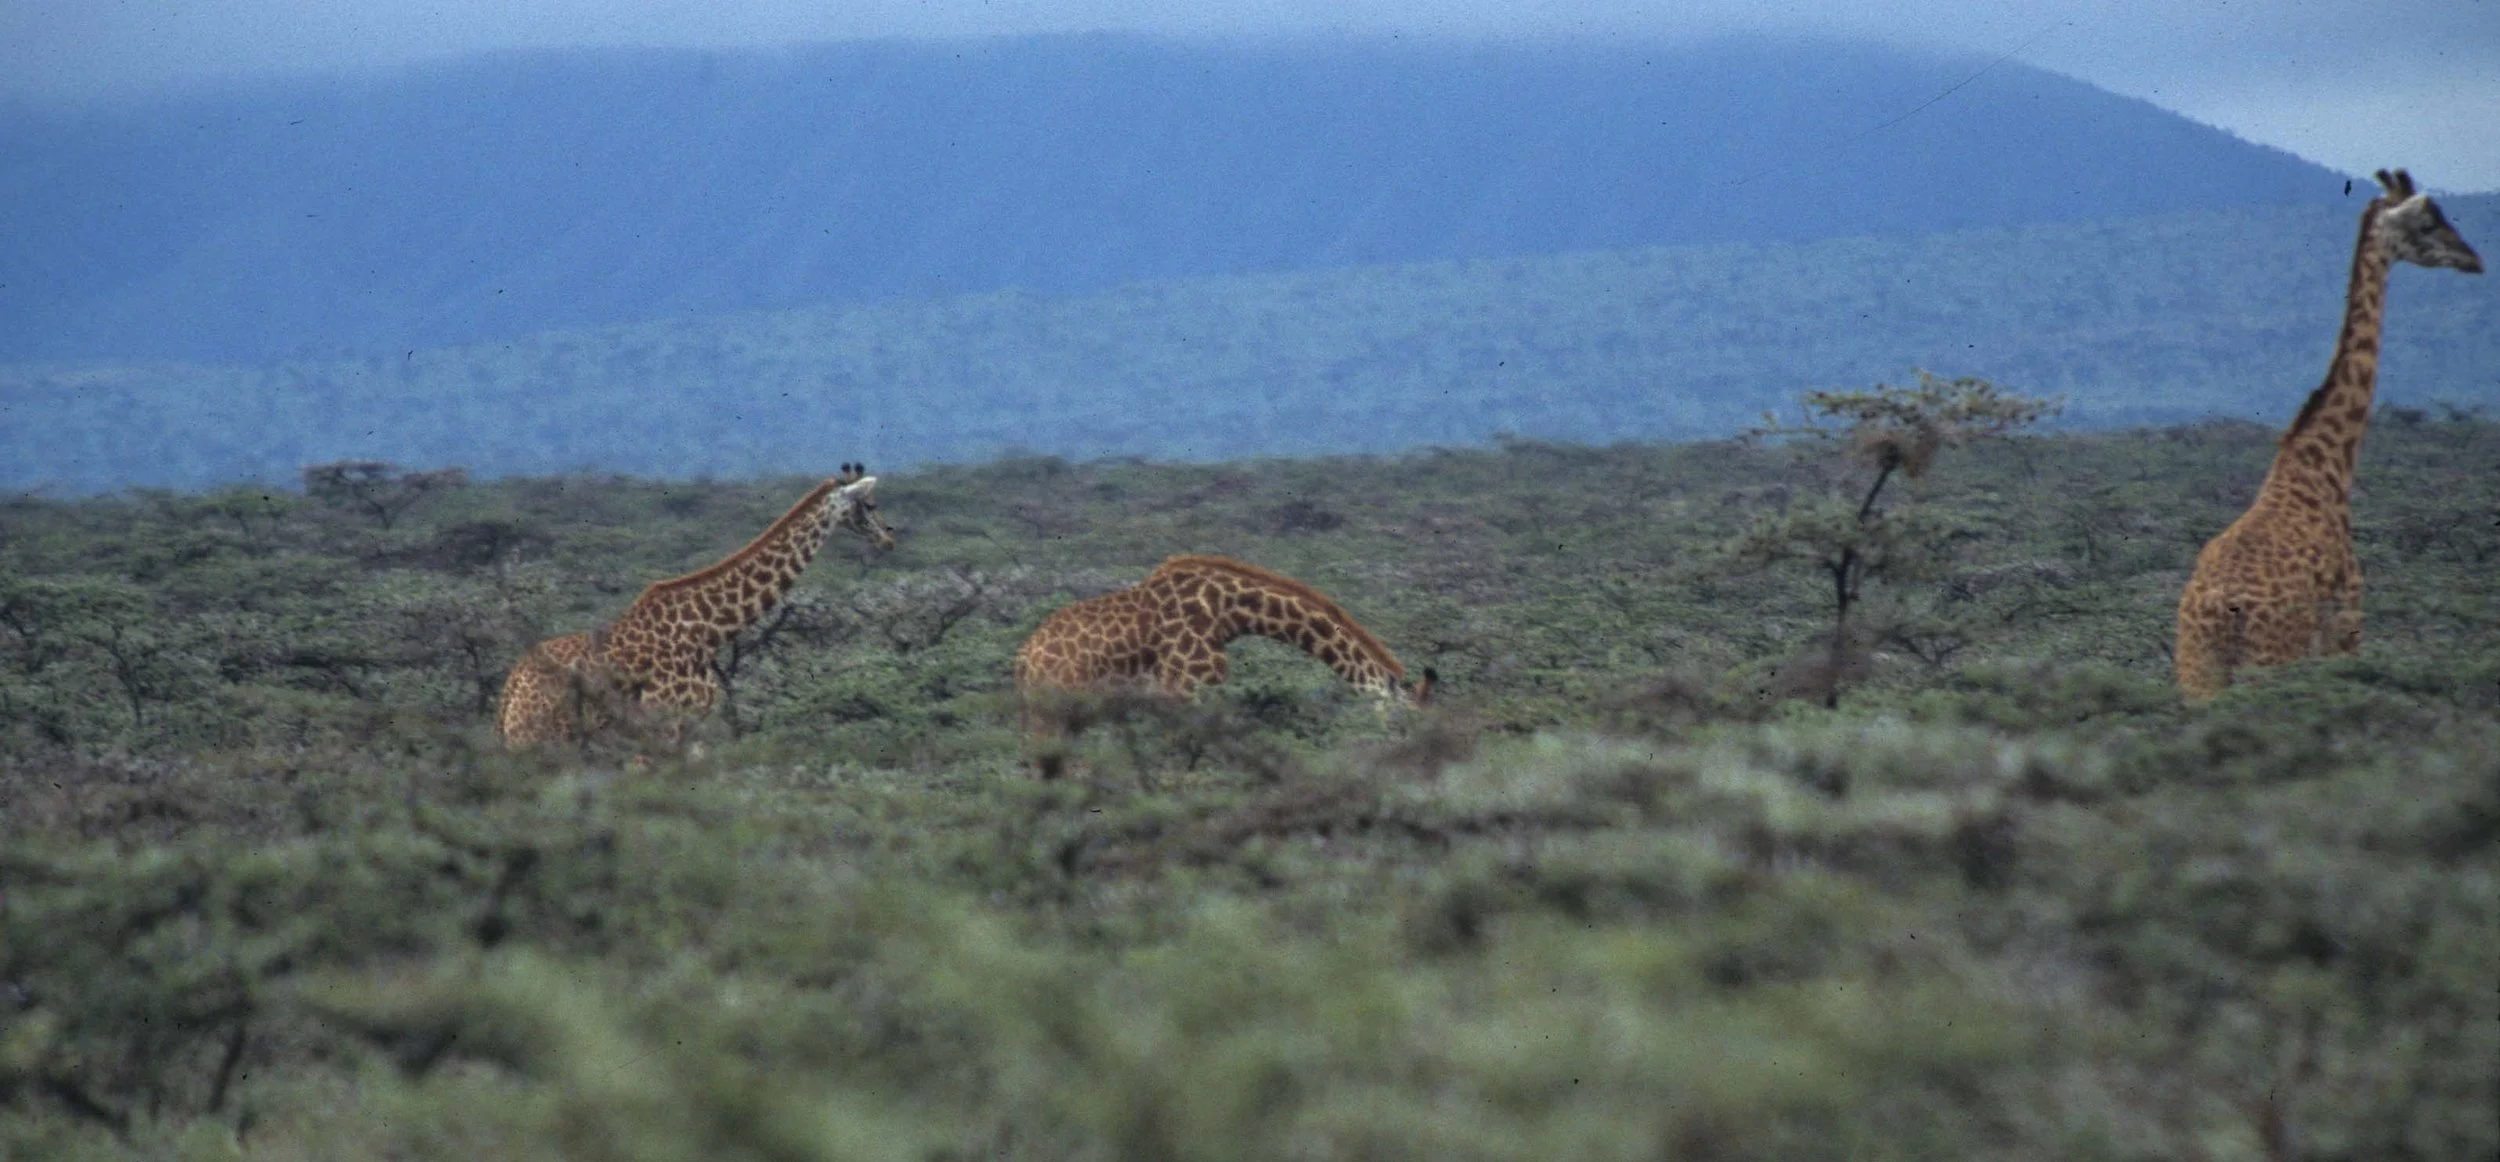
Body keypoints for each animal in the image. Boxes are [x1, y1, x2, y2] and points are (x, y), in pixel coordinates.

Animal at [497, 464, 896, 750]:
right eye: (869, 504)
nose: (889, 538)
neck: (706, 631)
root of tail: (511, 689)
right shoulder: (661, 730)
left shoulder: (693, 730)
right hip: (541, 741)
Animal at [1013, 554, 1434, 757]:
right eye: (1406, 720)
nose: (1405, 752)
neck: (1226, 611)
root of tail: (1025, 656)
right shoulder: (1184, 690)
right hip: (1052, 711)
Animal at [2174, 169, 2481, 701]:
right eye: (2427, 223)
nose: (2474, 260)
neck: (2323, 471)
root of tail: (2219, 613)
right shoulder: (2348, 627)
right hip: (2271, 661)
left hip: (2197, 675)